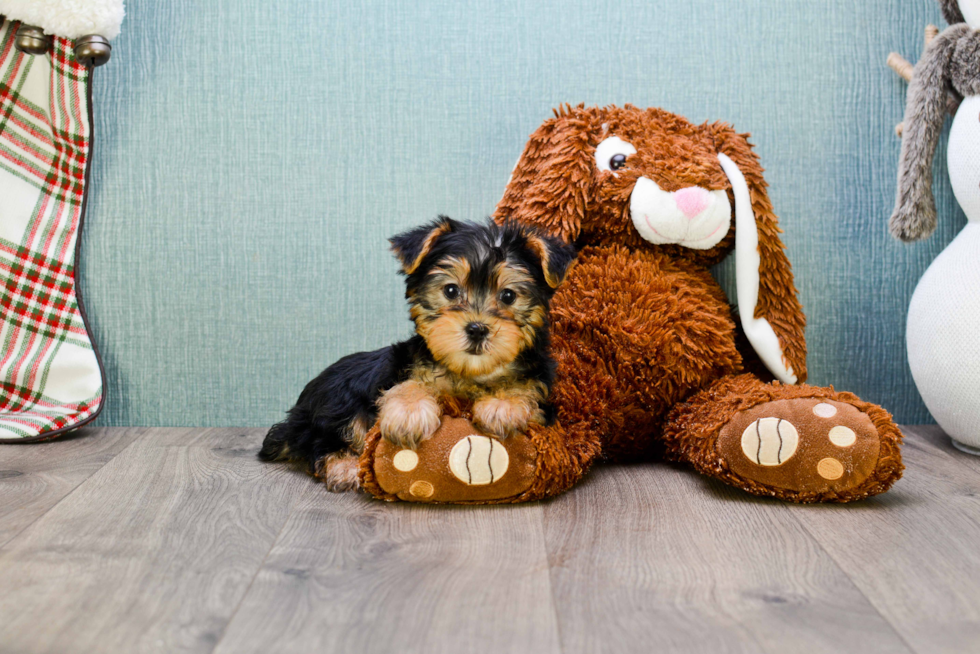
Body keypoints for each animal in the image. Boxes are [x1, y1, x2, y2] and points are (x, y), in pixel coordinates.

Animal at [258, 219, 576, 492]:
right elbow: (410, 384)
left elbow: (525, 388)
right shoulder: (406, 367)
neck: (469, 372)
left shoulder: (543, 394)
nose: (477, 329)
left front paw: (502, 405)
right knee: (320, 440)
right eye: (451, 290)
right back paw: (346, 466)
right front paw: (408, 414)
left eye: (508, 296)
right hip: (335, 402)